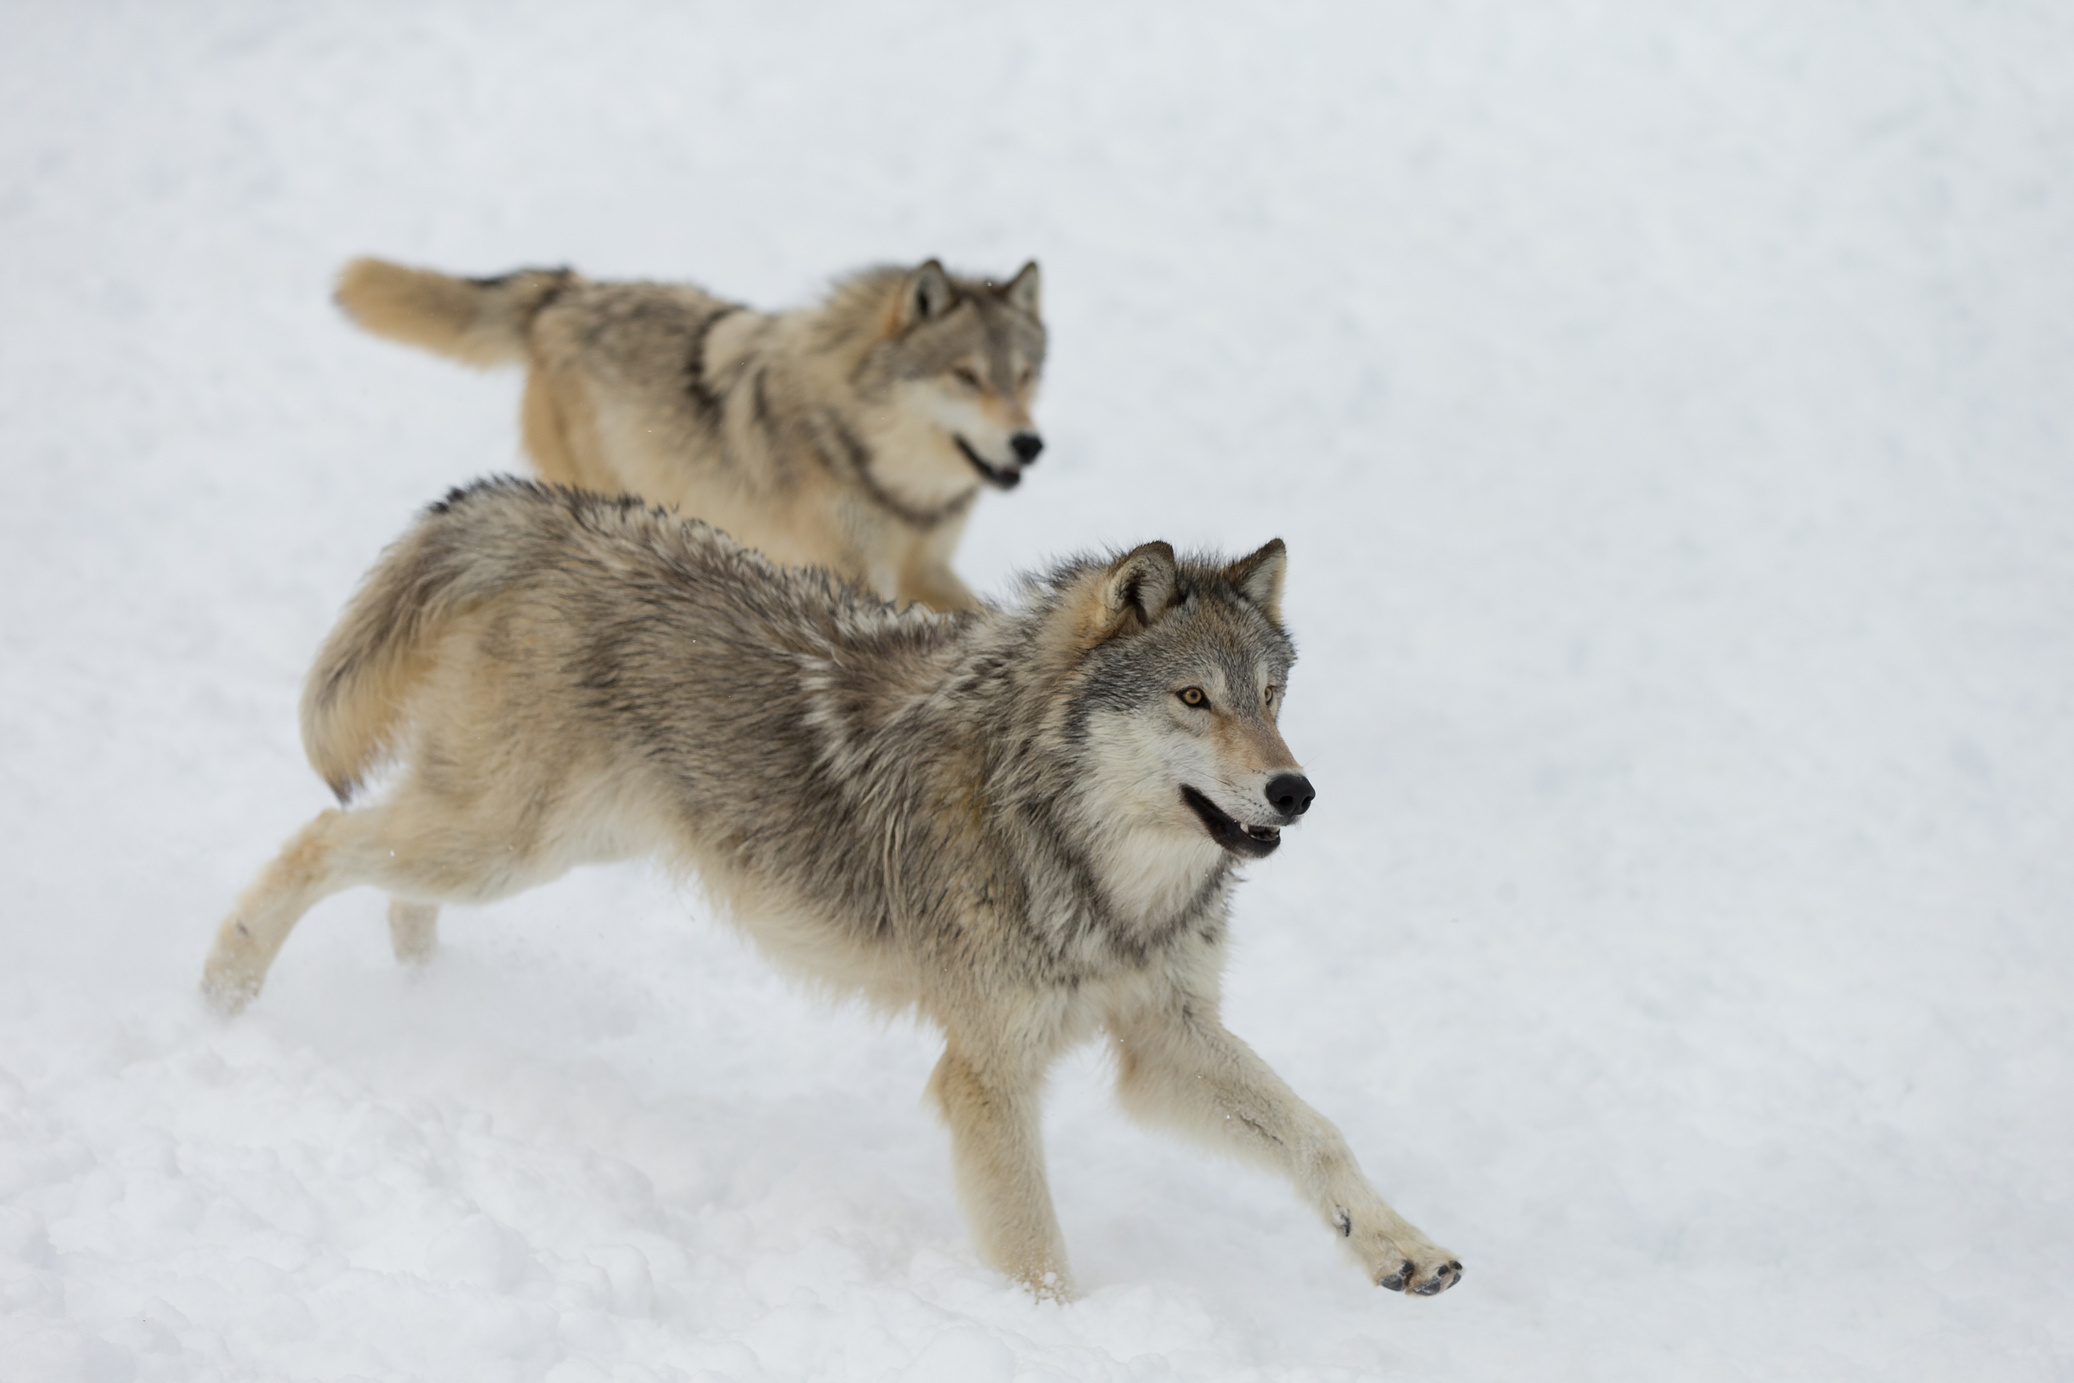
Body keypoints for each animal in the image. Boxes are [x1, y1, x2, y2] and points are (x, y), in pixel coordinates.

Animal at [200, 478, 1462, 1300]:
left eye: (1271, 698)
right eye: (1193, 700)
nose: (1295, 791)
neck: (1092, 870)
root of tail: (565, 511)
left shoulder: (1163, 1037)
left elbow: (1317, 1139)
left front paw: (1399, 1248)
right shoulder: (987, 1074)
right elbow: (1036, 1255)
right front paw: (1051, 1337)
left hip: (532, 848)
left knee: (384, 871)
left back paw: (421, 990)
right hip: (507, 841)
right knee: (321, 835)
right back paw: (225, 993)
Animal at [333, 255, 1045, 611]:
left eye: (1026, 375)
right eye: (966, 376)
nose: (1029, 445)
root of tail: (560, 296)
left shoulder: (927, 568)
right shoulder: (862, 576)